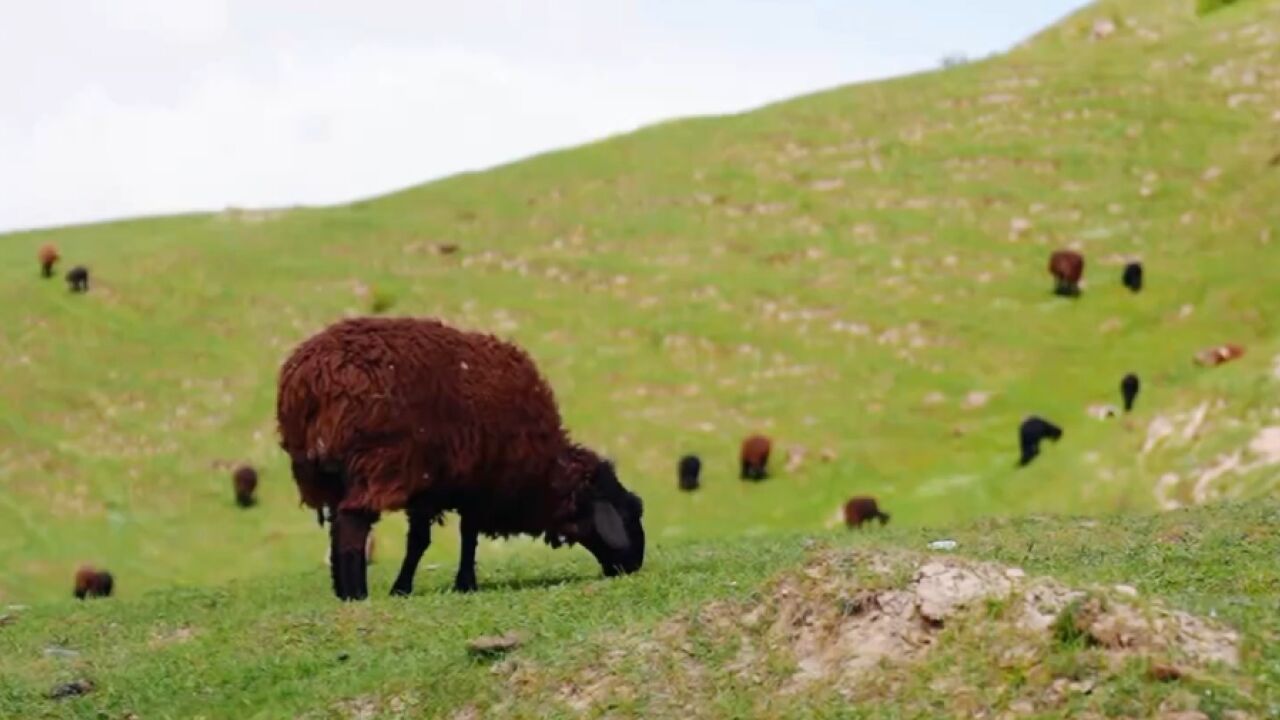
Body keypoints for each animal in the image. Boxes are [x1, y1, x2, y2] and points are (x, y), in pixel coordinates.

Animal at [275, 316, 645, 597]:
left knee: (338, 526)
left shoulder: (434, 488)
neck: (542, 471)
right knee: (353, 523)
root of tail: (309, 379)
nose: (634, 565)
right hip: (375, 463)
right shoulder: (473, 484)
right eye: (628, 515)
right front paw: (459, 584)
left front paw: (406, 587)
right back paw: (356, 594)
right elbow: (460, 537)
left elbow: (429, 540)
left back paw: (341, 590)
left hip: (318, 473)